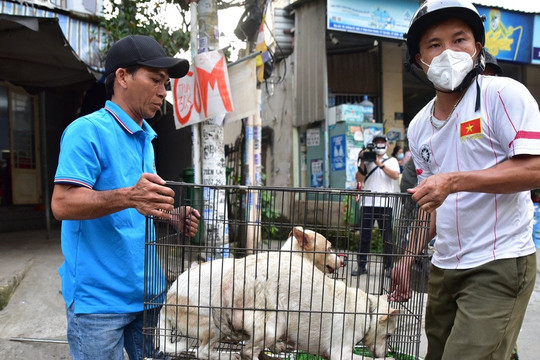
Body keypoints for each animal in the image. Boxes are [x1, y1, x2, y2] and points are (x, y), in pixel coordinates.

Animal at [156, 226, 344, 356]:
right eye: (329, 248)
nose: (343, 262)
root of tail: (168, 301)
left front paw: (275, 346)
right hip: (213, 323)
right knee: (202, 352)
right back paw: (229, 356)